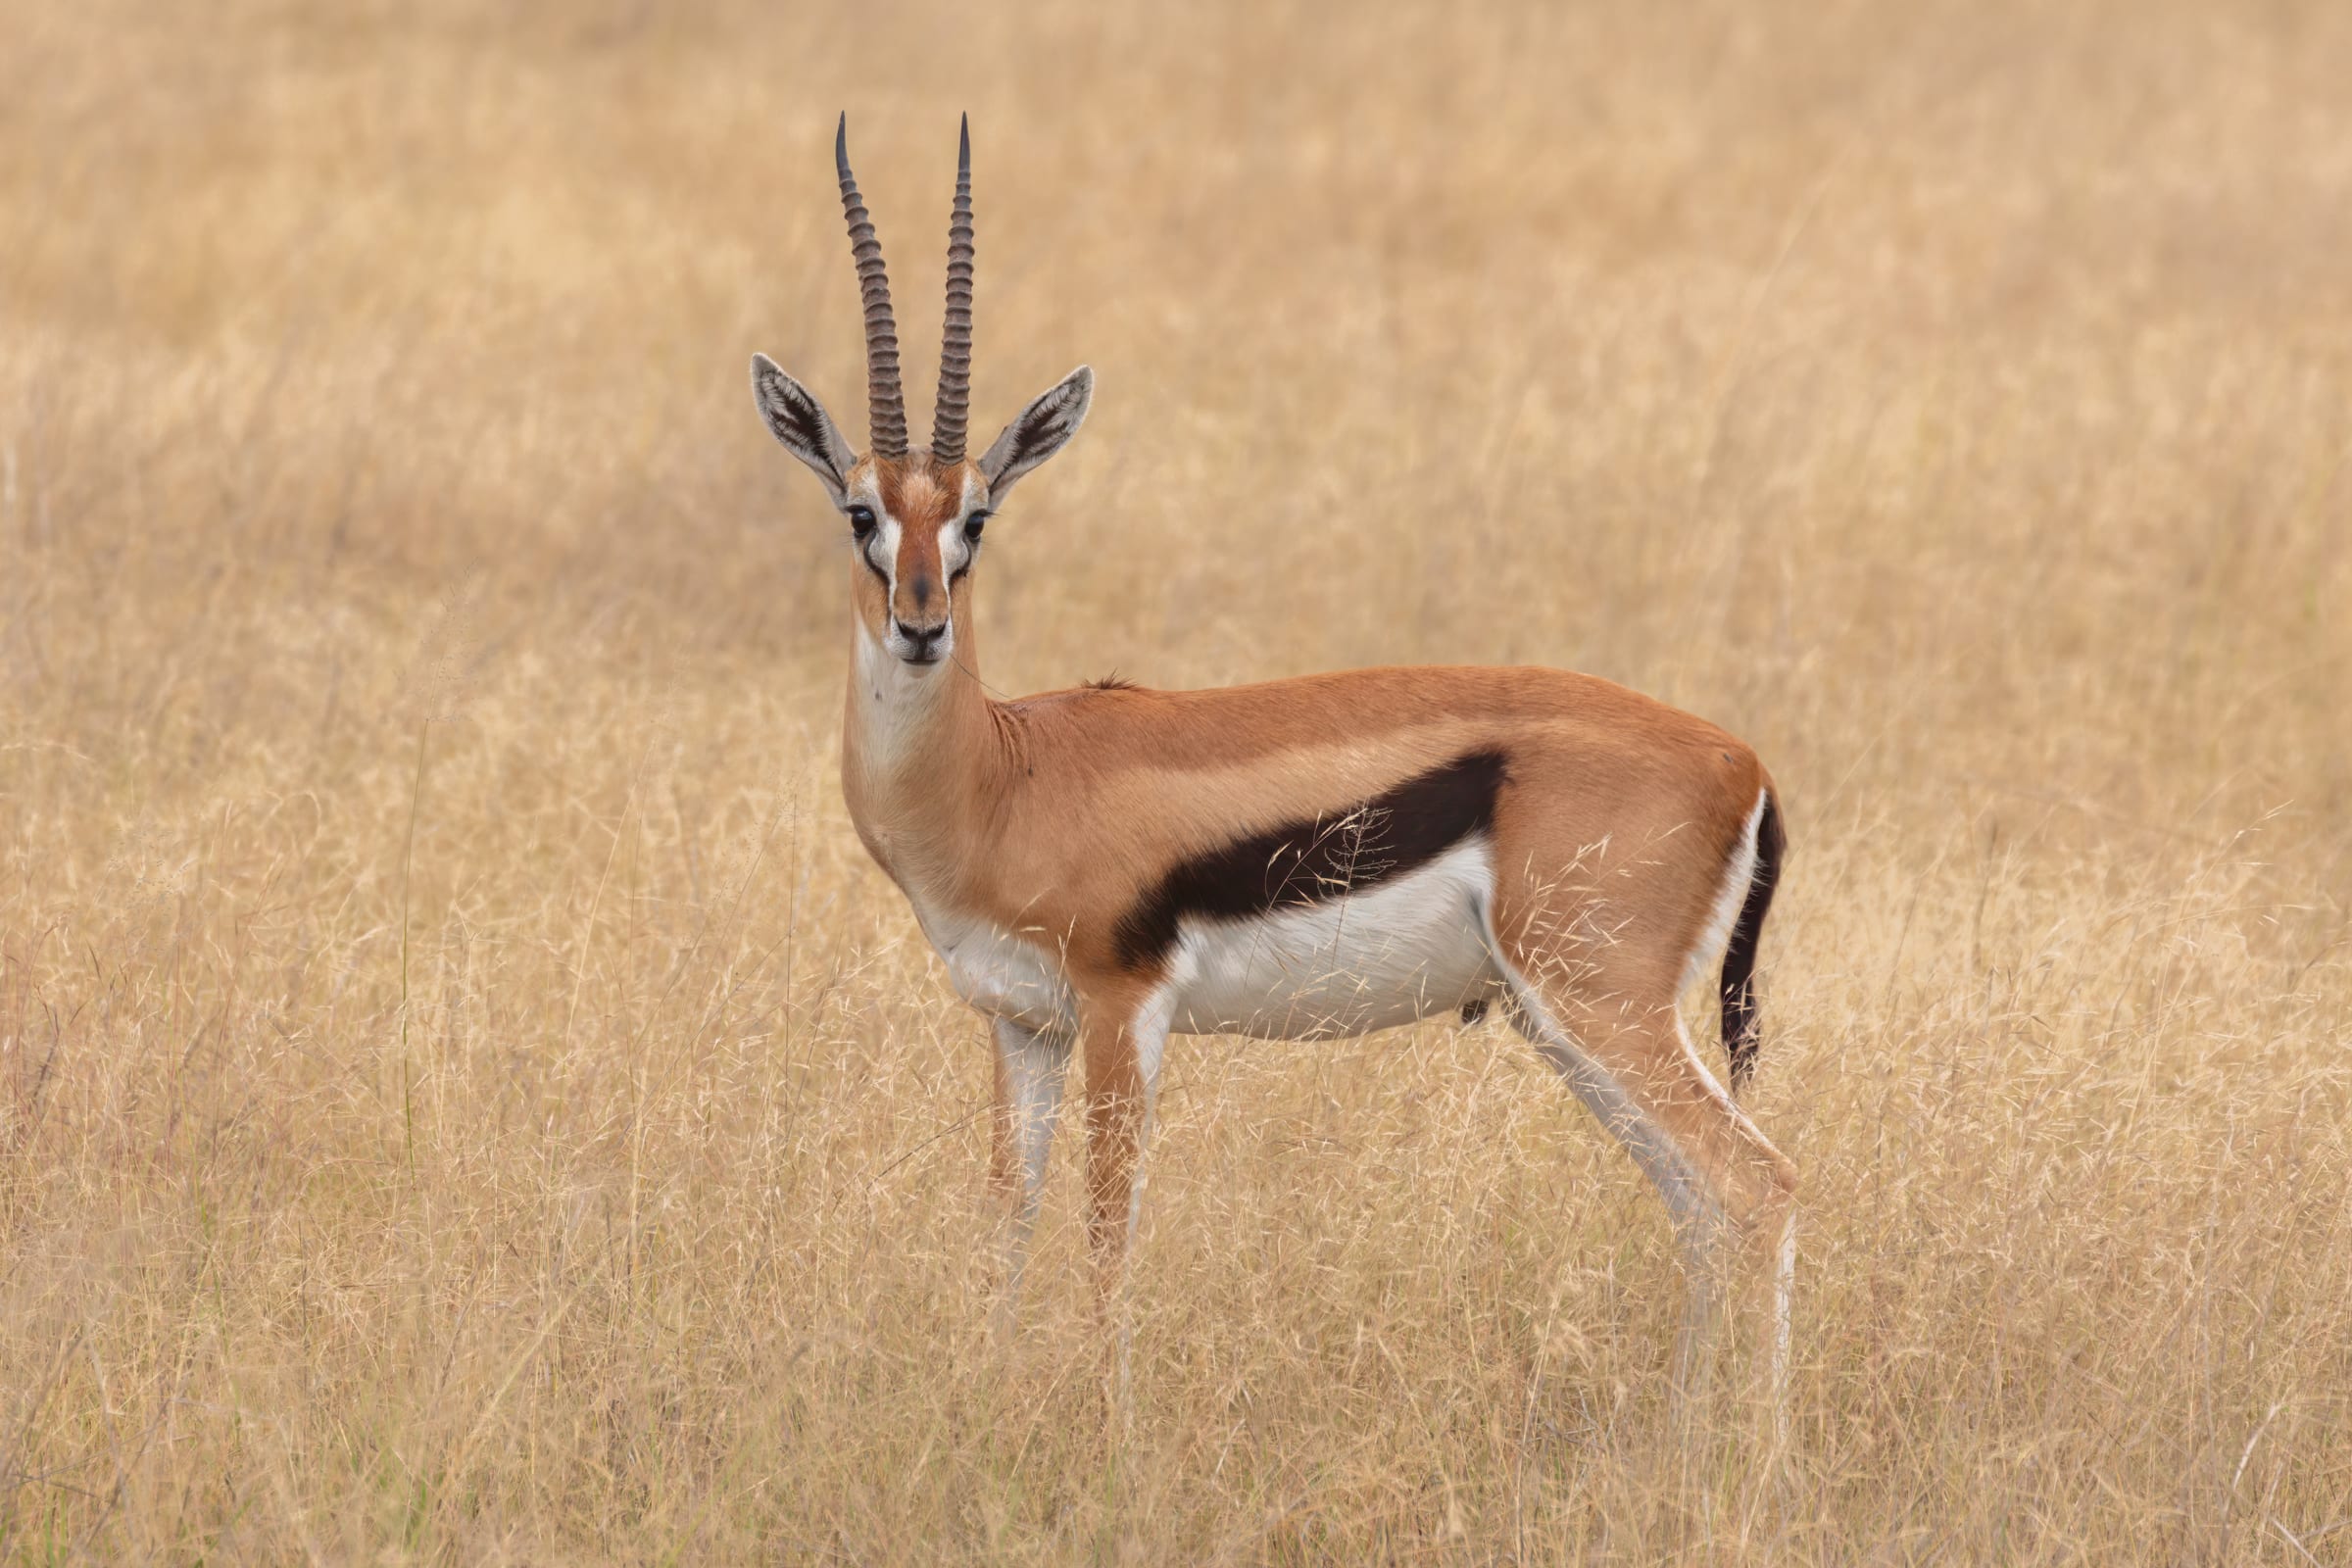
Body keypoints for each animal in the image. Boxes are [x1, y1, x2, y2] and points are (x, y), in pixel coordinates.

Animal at [749, 116, 1799, 1403]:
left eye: (977, 517)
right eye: (860, 512)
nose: (920, 622)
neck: (1003, 776)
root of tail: (1743, 761)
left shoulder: (1122, 1009)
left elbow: (1106, 1237)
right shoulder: (1021, 1025)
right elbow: (1005, 1225)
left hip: (1601, 1007)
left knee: (1759, 1188)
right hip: (1568, 1024)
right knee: (1701, 1209)